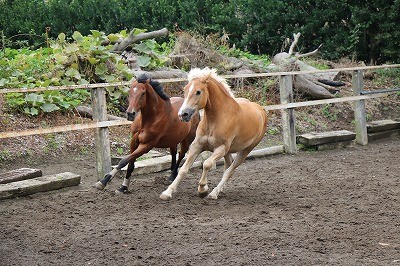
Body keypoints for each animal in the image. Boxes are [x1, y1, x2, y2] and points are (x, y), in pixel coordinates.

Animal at [160, 67, 268, 201]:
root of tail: (261, 110)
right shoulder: (197, 145)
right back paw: (220, 190)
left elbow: (207, 164)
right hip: (228, 151)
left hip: (245, 150)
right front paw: (167, 192)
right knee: (227, 166)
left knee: (230, 171)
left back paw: (214, 193)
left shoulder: (220, 148)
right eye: (185, 90)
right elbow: (184, 169)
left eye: (198, 92)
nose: (183, 114)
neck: (216, 119)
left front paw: (202, 189)